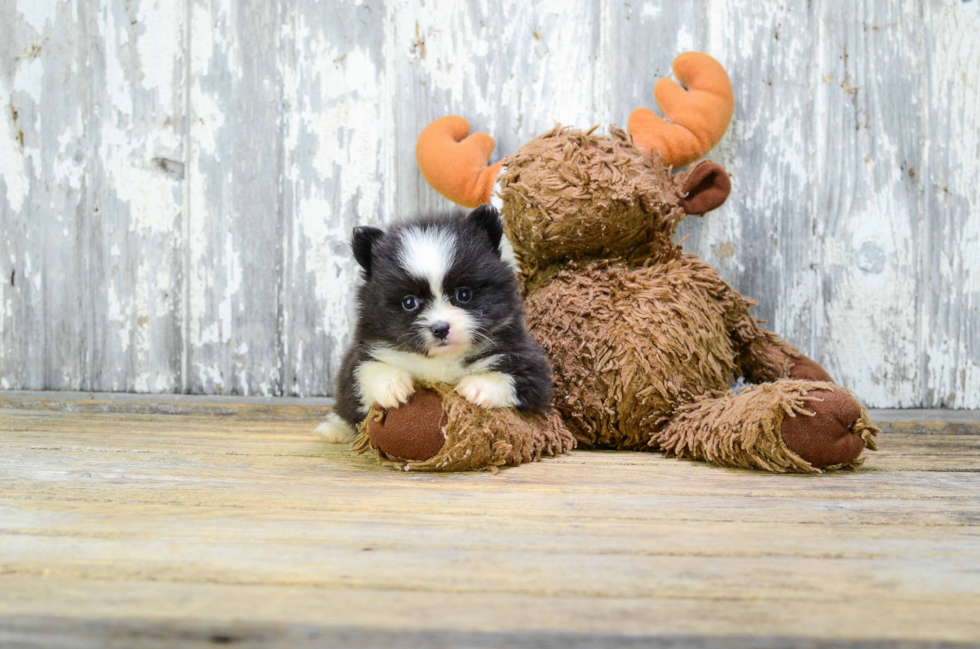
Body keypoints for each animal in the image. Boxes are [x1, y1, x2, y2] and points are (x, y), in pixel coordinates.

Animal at [320, 205, 556, 442]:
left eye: (463, 294)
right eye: (409, 302)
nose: (440, 329)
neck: (441, 359)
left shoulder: (528, 362)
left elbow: (513, 377)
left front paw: (478, 387)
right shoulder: (363, 353)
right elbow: (365, 371)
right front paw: (392, 384)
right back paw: (335, 430)